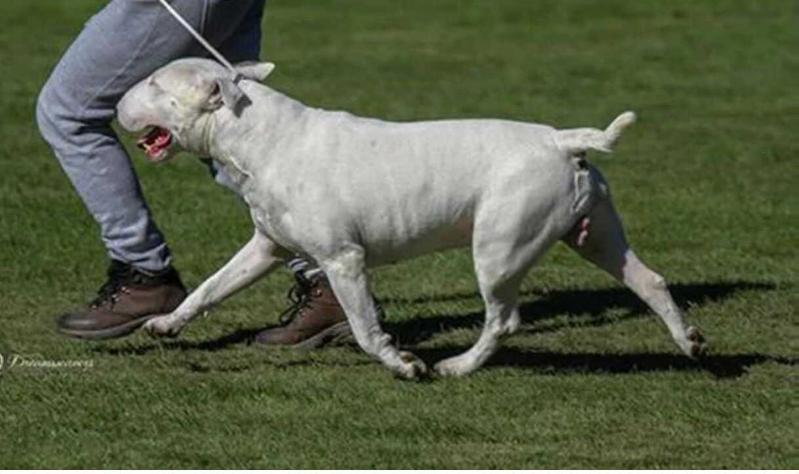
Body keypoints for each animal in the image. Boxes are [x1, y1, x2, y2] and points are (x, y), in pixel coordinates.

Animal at [115, 58, 704, 378]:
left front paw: (404, 364)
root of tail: (561, 142)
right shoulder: (266, 247)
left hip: (500, 247)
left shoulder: (343, 260)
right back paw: (691, 343)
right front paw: (166, 323)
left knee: (503, 318)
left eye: (156, 86)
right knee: (649, 279)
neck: (258, 137)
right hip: (595, 233)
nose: (116, 101)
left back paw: (457, 367)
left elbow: (363, 327)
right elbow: (211, 288)